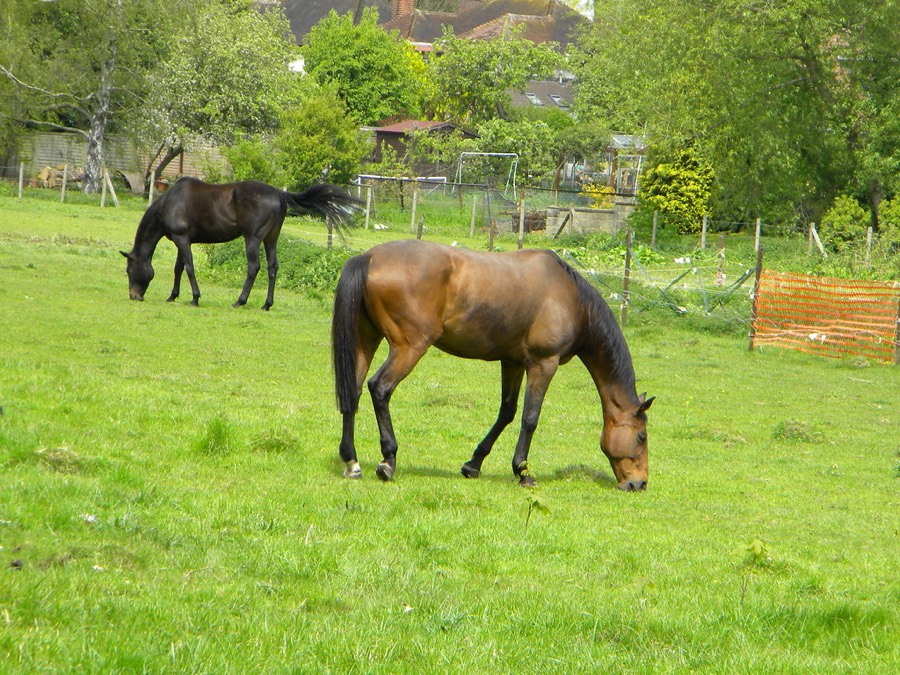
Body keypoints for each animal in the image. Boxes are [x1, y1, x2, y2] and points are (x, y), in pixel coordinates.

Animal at [121, 177, 362, 310]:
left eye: (129, 270)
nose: (134, 296)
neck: (169, 204)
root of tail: (279, 193)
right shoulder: (184, 240)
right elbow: (179, 268)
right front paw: (173, 296)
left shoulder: (182, 239)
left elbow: (188, 268)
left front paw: (195, 298)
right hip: (271, 239)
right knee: (273, 268)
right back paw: (266, 304)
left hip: (253, 239)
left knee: (253, 267)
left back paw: (240, 300)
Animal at [331, 239, 654, 490]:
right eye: (641, 436)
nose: (638, 484)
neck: (571, 300)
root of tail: (369, 257)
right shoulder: (543, 364)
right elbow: (530, 418)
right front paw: (523, 472)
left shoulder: (513, 362)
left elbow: (507, 413)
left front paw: (474, 464)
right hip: (408, 347)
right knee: (380, 388)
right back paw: (388, 460)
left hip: (366, 339)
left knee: (353, 391)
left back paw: (352, 462)